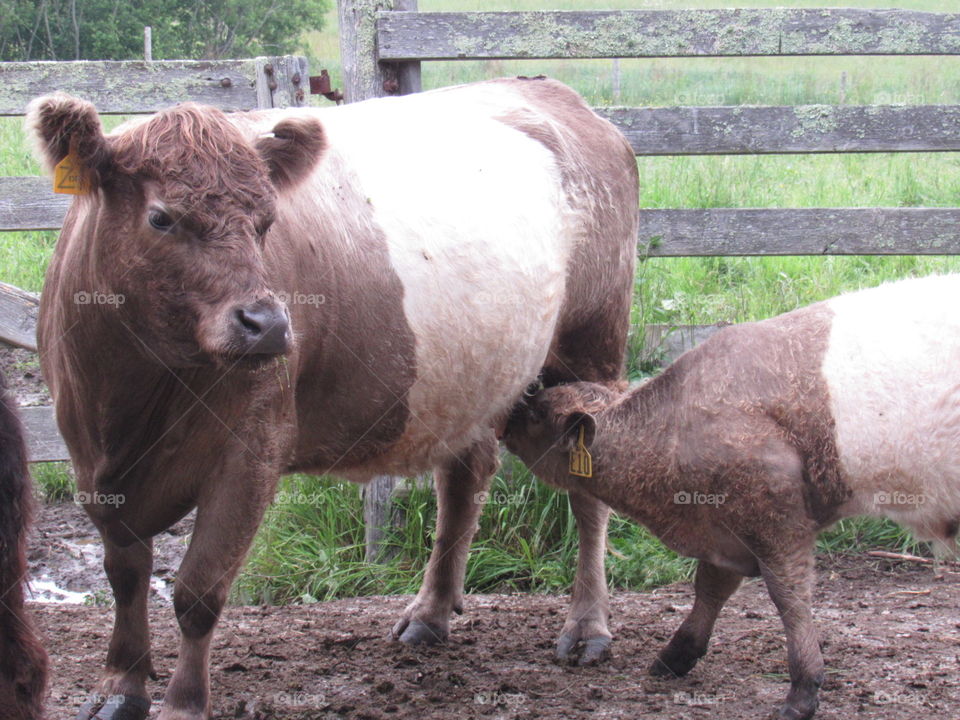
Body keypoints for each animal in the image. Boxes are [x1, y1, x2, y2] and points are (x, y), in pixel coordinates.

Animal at [28, 77, 639, 719]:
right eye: (161, 218)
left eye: (266, 222)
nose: (269, 324)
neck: (128, 398)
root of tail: (548, 89)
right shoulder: (90, 458)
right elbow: (124, 575)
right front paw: (119, 686)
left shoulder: (251, 450)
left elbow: (198, 588)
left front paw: (185, 703)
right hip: (469, 379)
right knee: (464, 480)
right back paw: (430, 614)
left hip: (590, 348)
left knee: (588, 489)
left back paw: (587, 627)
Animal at [502, 273, 960, 720]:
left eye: (538, 414)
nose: (507, 414)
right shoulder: (725, 527)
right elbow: (710, 587)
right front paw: (676, 655)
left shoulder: (775, 518)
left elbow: (788, 597)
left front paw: (802, 690)